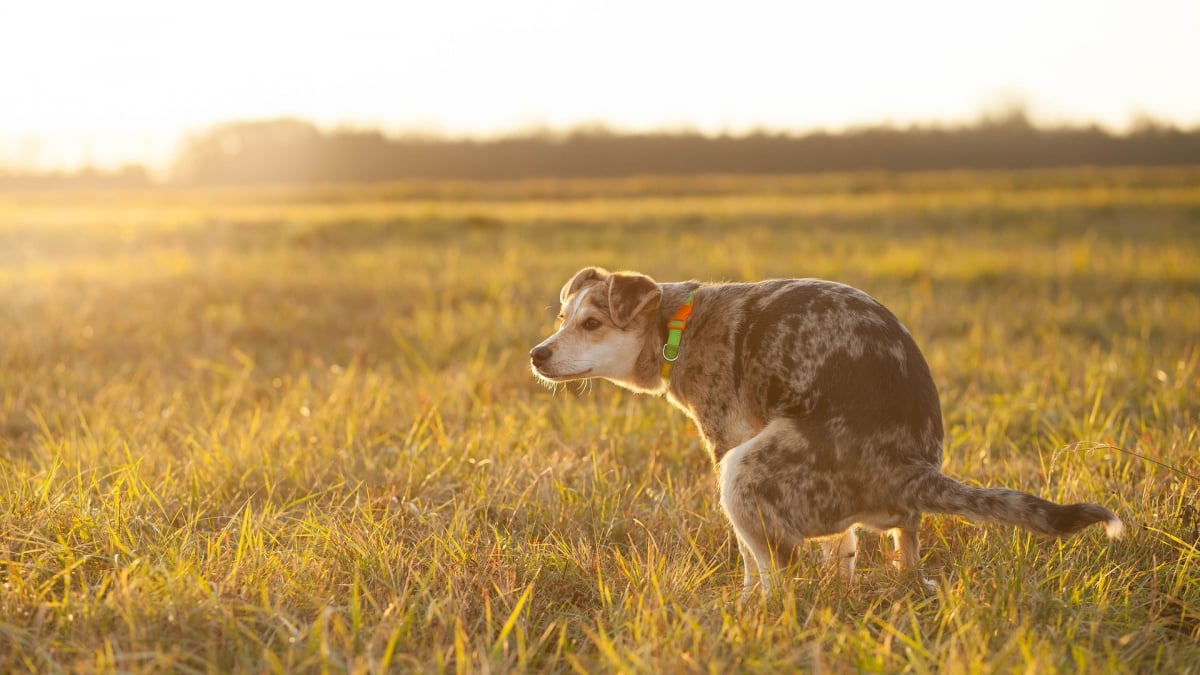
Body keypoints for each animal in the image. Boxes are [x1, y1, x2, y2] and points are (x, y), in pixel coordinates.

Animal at [530, 265, 1118, 590]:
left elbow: (750, 559)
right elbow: (843, 550)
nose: (537, 354)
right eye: (561, 319)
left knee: (780, 572)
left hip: (743, 472)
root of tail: (911, 470)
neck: (678, 325)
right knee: (900, 550)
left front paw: (746, 603)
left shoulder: (727, 441)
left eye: (592, 323)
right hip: (883, 517)